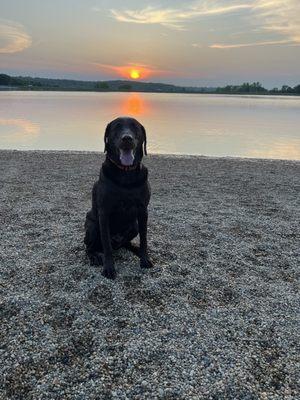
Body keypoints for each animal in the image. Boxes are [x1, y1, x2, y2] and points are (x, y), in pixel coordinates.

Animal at [84, 116, 152, 278]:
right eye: (117, 127)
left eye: (135, 127)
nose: (127, 138)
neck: (126, 174)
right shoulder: (104, 213)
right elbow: (106, 244)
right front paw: (109, 268)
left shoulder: (143, 210)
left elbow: (144, 238)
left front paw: (144, 259)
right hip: (92, 226)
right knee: (90, 247)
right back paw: (94, 256)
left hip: (133, 226)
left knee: (126, 242)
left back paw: (135, 250)